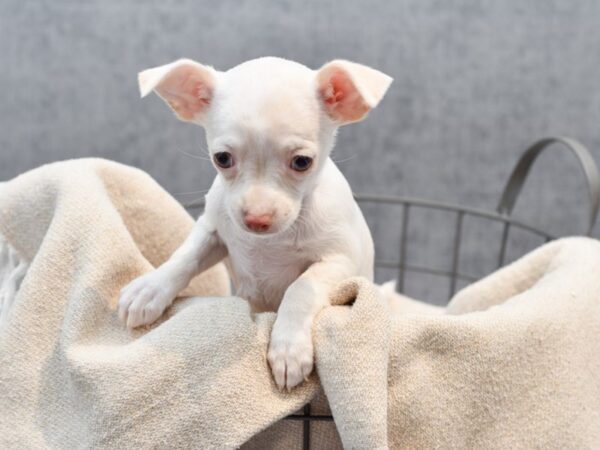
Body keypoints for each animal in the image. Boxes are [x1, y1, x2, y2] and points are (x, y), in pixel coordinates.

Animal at [119, 57, 392, 390]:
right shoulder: (213, 232)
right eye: (222, 158)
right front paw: (150, 288)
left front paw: (288, 347)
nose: (257, 219)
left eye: (302, 162)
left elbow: (301, 288)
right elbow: (184, 257)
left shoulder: (339, 260)